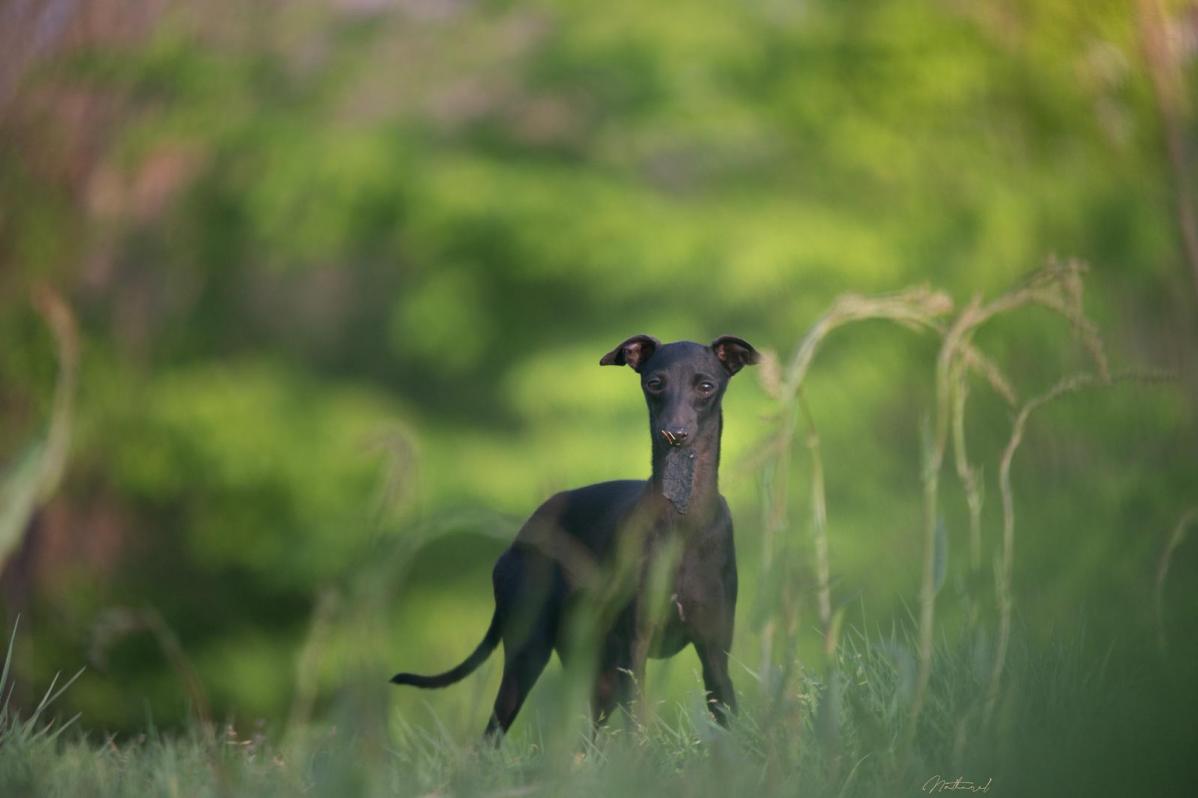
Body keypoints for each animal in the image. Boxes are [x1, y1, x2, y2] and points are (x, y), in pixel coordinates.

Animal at [392, 333, 757, 738]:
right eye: (654, 383)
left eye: (706, 386)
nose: (674, 434)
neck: (683, 522)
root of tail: (521, 537)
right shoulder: (636, 647)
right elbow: (638, 728)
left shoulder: (714, 649)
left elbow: (725, 712)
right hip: (531, 652)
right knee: (492, 734)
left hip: (596, 671)